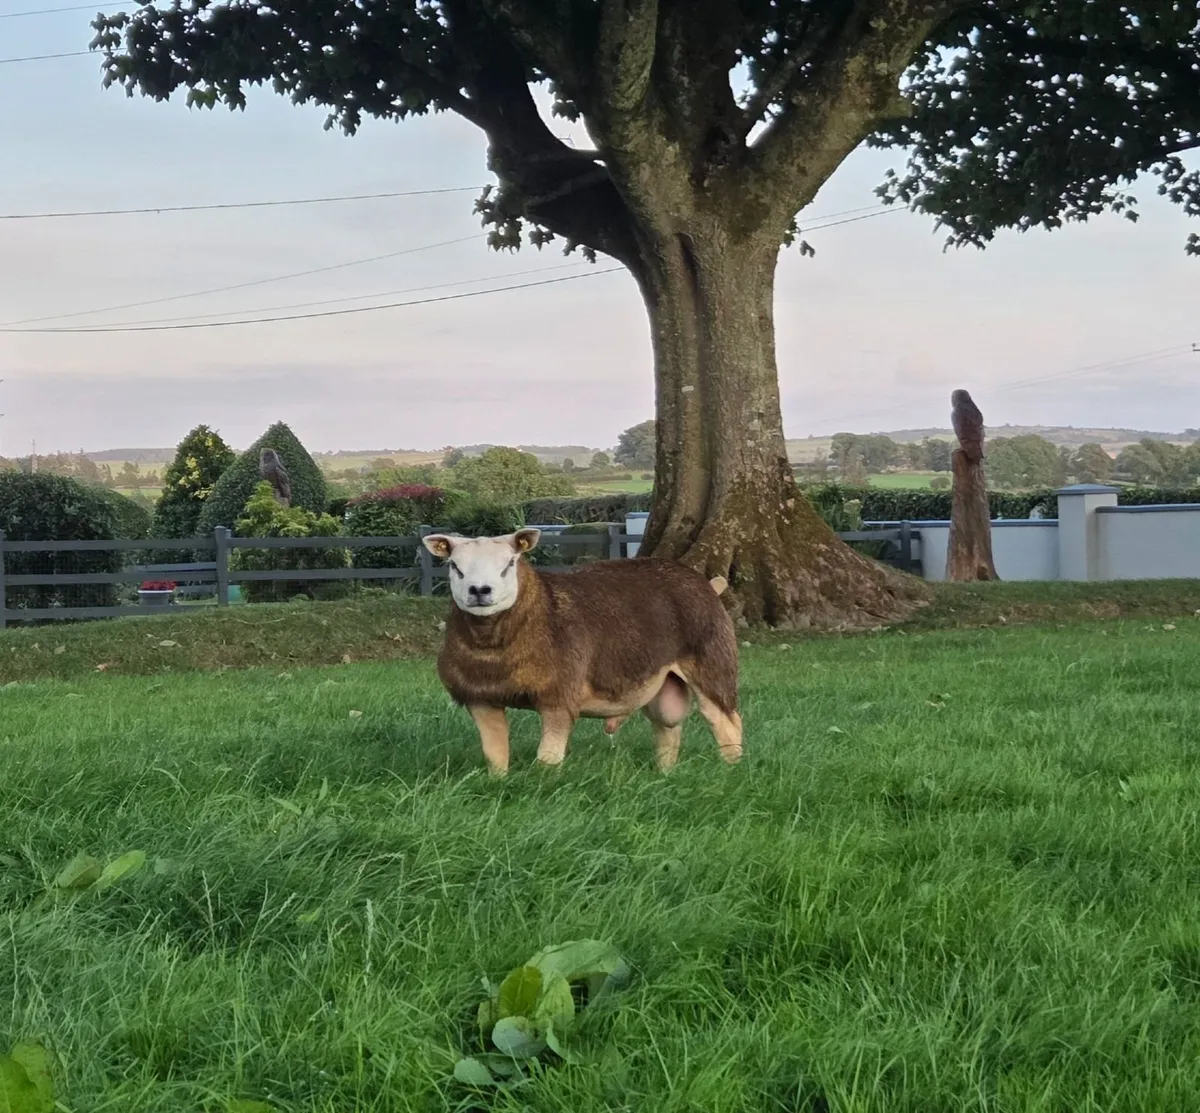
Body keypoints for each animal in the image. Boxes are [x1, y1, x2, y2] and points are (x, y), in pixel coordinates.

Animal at [421, 529, 743, 775]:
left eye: (509, 563)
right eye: (454, 566)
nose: (479, 590)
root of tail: (706, 582)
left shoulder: (558, 698)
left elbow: (548, 759)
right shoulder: (481, 700)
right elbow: (495, 754)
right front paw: (498, 781)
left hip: (712, 663)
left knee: (726, 724)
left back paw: (730, 771)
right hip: (662, 684)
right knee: (667, 729)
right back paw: (664, 774)